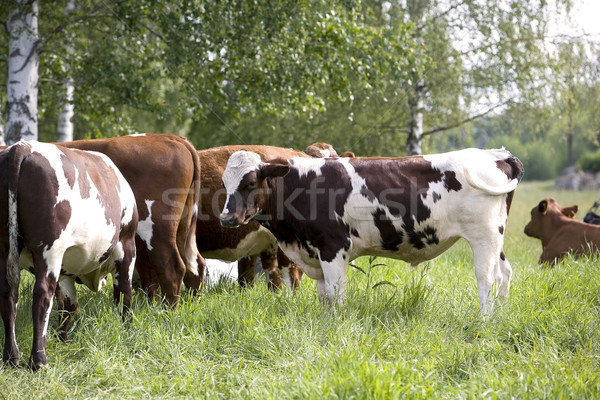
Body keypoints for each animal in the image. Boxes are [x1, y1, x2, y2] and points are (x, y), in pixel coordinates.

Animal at [0, 141, 137, 368]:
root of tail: (23, 146)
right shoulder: (126, 245)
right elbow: (124, 293)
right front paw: (127, 328)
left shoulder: (66, 269)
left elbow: (68, 304)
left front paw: (62, 341)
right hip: (50, 247)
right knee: (42, 295)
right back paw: (38, 360)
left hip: (4, 249)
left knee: (8, 294)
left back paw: (11, 357)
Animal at [59, 134, 203, 304]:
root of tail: (169, 137)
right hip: (182, 227)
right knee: (194, 265)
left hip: (157, 229)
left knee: (172, 268)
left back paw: (167, 309)